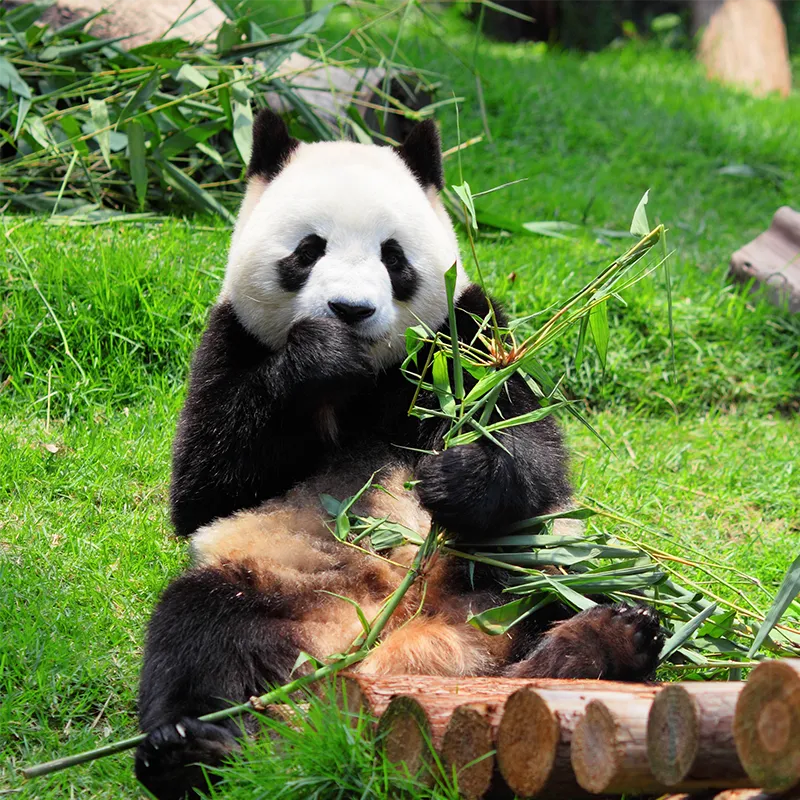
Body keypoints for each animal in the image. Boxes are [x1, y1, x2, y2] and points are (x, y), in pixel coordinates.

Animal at [134, 110, 664, 800]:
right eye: (309, 250)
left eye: (394, 257)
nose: (350, 310)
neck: (366, 379)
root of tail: (406, 639)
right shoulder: (230, 339)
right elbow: (205, 487)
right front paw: (320, 353)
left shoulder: (472, 337)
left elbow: (532, 451)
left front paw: (457, 476)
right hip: (275, 582)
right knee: (196, 631)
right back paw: (187, 750)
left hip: (531, 562)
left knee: (559, 590)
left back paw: (608, 640)